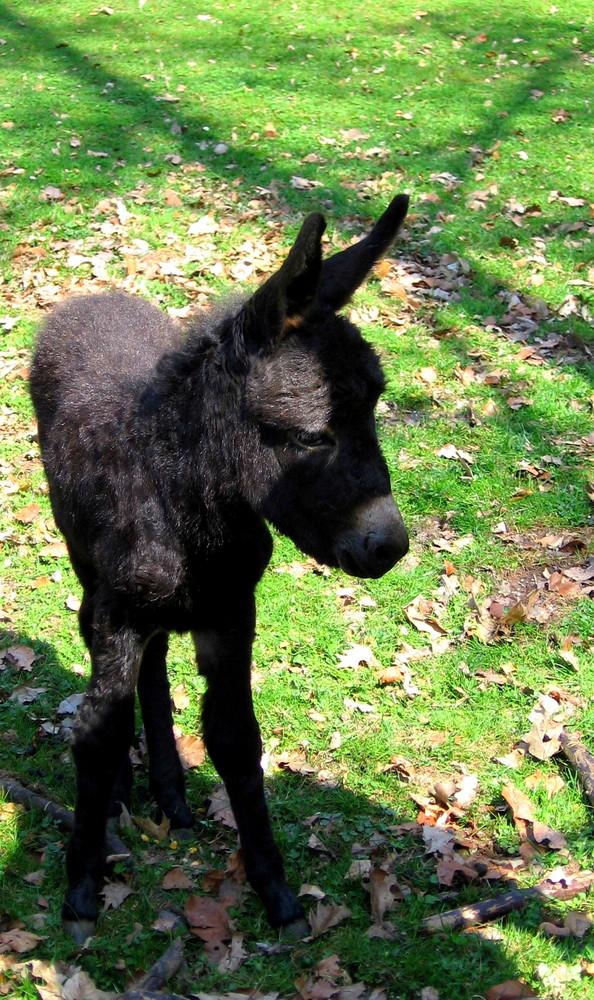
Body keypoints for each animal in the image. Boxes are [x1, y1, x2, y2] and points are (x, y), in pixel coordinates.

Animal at [30, 191, 410, 940]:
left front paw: (275, 890)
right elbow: (97, 734)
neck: (189, 512)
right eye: (312, 436)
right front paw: (82, 886)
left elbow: (236, 740)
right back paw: (126, 794)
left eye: (376, 409)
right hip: (88, 569)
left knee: (153, 669)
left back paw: (169, 792)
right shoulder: (120, 615)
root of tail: (91, 295)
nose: (390, 545)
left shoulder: (232, 615)